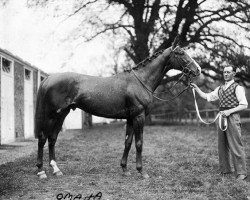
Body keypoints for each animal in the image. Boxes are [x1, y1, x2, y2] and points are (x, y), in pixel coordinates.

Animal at [34, 38, 201, 179]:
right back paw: (41, 171)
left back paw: (56, 169)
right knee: (43, 138)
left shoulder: (130, 118)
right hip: (51, 115)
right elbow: (139, 143)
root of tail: (48, 79)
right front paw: (142, 172)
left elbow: (128, 142)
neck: (140, 81)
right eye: (181, 53)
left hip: (61, 114)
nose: (197, 70)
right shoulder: (139, 117)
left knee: (52, 138)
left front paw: (125, 169)